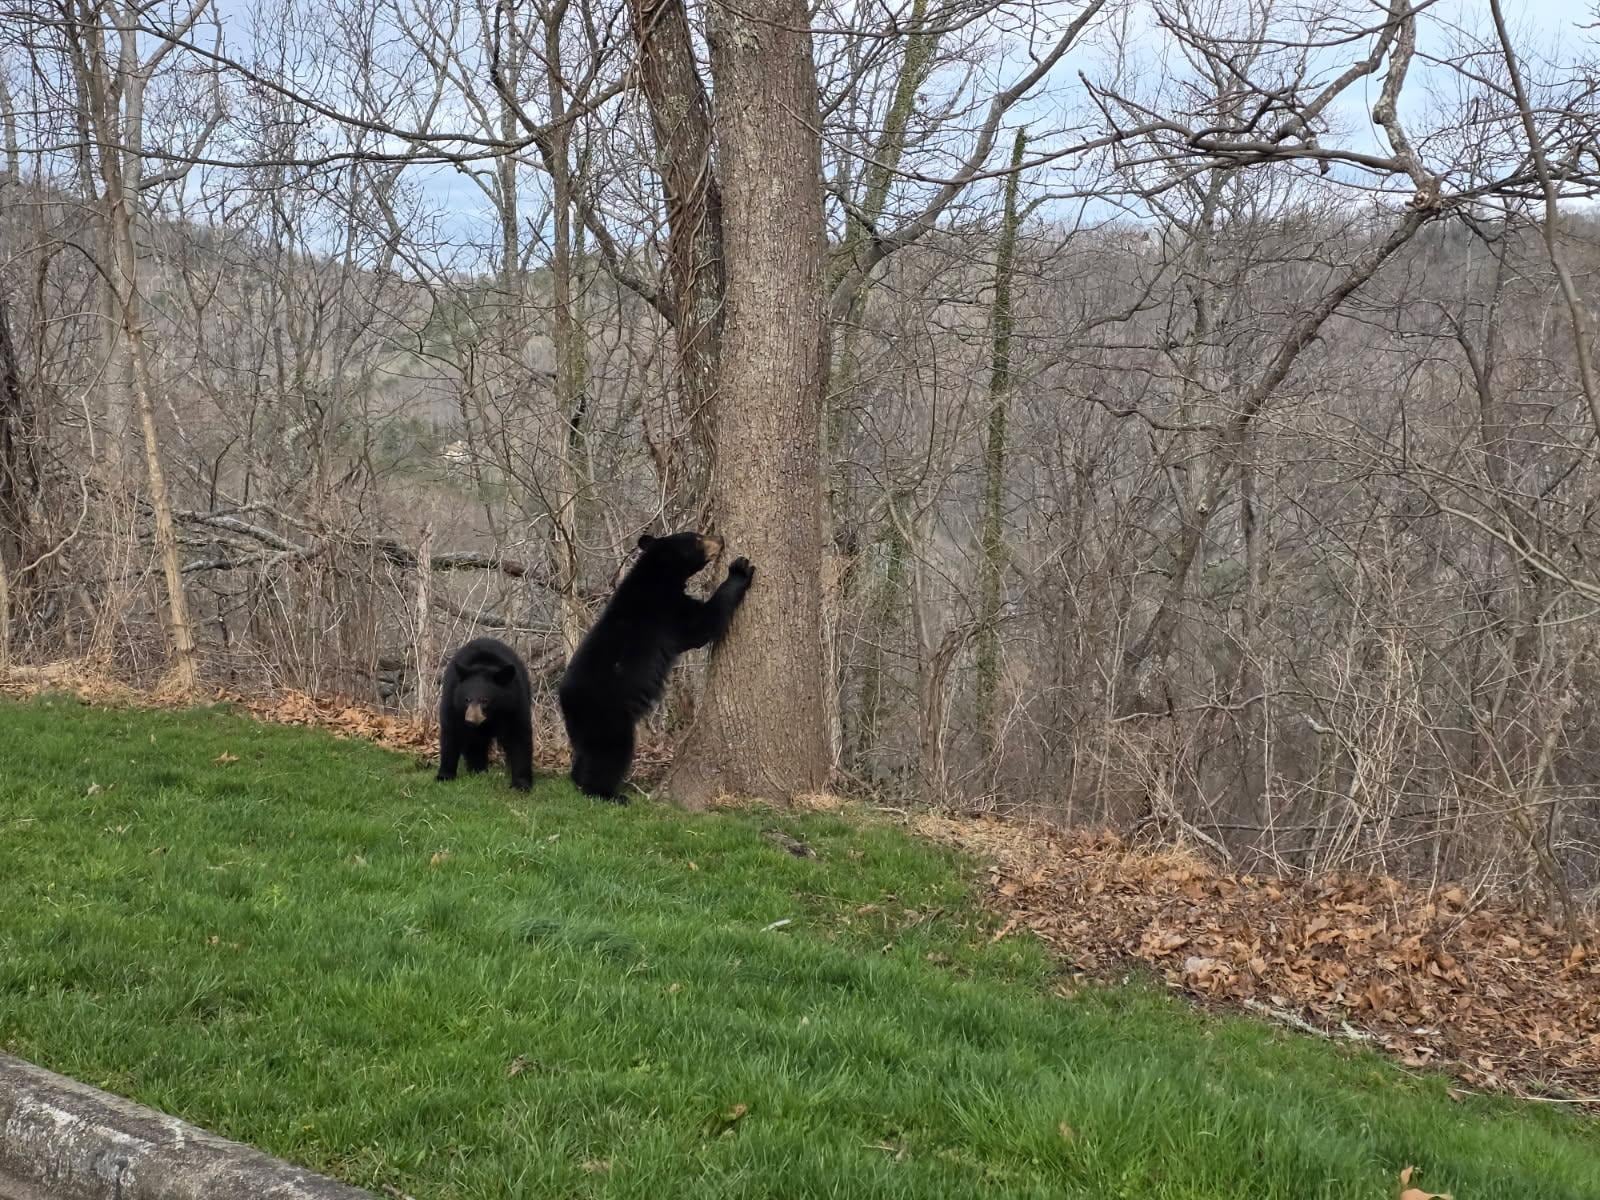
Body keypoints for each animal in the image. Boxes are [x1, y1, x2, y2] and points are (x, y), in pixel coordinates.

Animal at [436, 637, 534, 791]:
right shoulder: (453, 703)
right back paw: (477, 769)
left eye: (485, 700)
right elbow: (451, 734)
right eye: (467, 699)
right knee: (475, 743)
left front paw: (521, 784)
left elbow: (519, 736)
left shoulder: (515, 704)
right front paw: (445, 775)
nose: (470, 720)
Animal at [558, 531, 754, 801]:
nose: (720, 539)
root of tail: (565, 698)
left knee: (584, 751)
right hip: (608, 714)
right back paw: (607, 794)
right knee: (610, 752)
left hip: (583, 724)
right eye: (698, 537)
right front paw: (740, 570)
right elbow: (702, 624)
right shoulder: (668, 611)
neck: (659, 573)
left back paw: (578, 779)